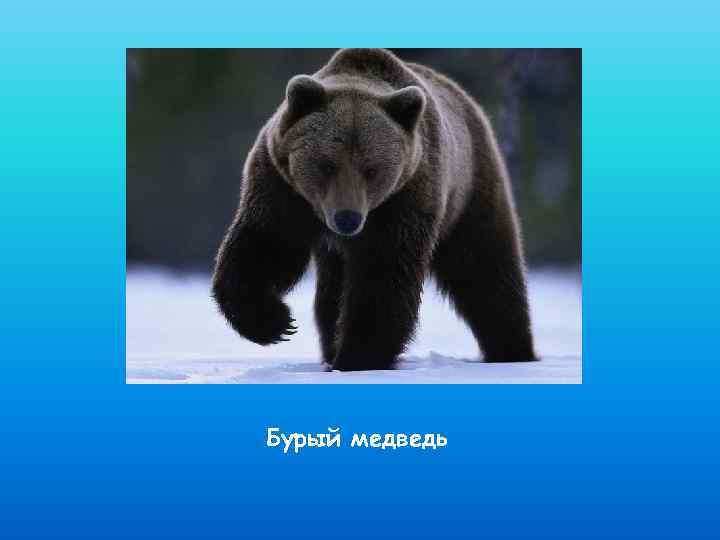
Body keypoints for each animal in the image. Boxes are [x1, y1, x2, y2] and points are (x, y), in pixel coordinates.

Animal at [212, 48, 537, 371]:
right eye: (327, 165)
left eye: (371, 170)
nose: (347, 218)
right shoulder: (282, 188)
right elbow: (266, 246)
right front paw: (274, 322)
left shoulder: (405, 199)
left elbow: (383, 276)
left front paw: (358, 356)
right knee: (331, 293)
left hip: (470, 191)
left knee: (485, 269)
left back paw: (513, 349)